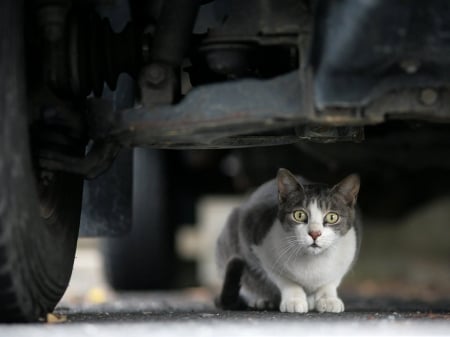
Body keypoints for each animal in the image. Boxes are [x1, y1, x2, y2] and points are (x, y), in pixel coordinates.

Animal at [215, 168, 362, 312]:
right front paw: (294, 299)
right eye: (299, 215)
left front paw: (328, 299)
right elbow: (285, 280)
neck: (313, 260)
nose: (315, 233)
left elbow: (330, 281)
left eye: (332, 217)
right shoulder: (260, 244)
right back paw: (262, 300)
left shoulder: (350, 252)